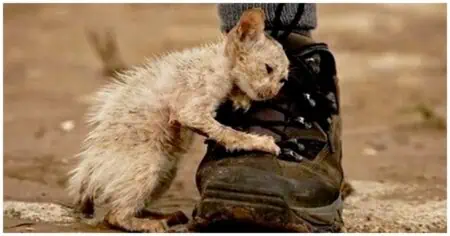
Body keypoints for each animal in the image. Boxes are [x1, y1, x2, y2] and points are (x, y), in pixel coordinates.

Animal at [68, 7, 290, 232]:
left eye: (283, 80)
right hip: (149, 165)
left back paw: (166, 216)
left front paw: (240, 99)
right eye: (268, 68)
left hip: (166, 172)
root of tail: (88, 171)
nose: (272, 93)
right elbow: (228, 132)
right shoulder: (191, 109)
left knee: (128, 206)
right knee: (114, 215)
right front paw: (261, 142)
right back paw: (150, 224)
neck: (220, 62)